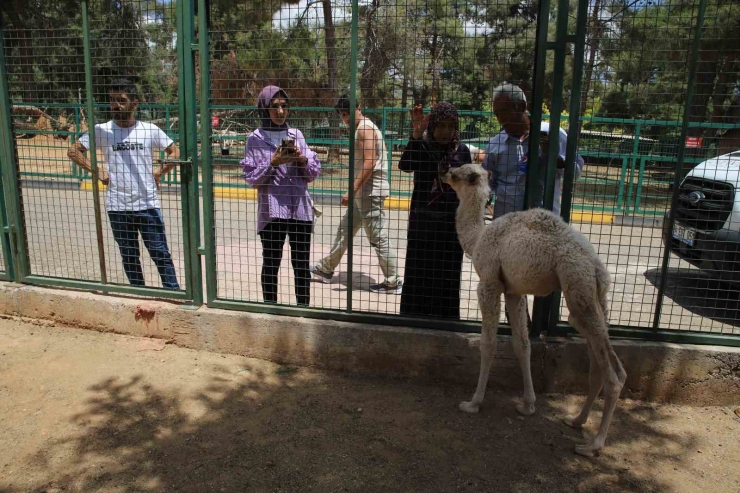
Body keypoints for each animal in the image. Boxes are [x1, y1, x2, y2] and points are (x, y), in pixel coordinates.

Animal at [442, 163, 628, 456]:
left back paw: (593, 445)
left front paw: (473, 403)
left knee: (614, 376)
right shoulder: (514, 291)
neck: (478, 238)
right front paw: (528, 404)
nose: (443, 172)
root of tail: (596, 265)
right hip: (590, 297)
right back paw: (576, 420)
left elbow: (488, 344)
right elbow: (522, 345)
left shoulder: (489, 283)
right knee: (599, 362)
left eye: (456, 172)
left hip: (576, 283)